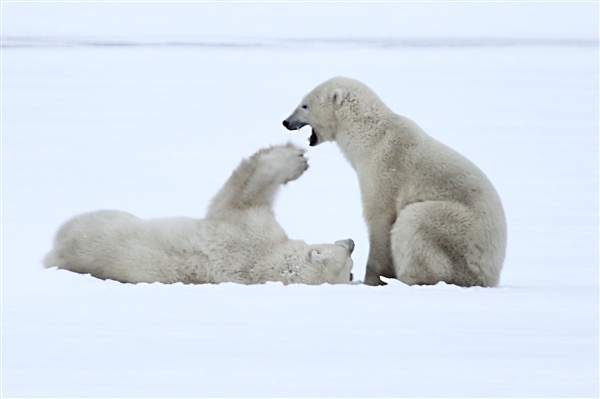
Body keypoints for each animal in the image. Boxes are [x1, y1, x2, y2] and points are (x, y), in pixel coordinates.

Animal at [44, 145, 354, 286]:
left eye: (350, 270)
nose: (352, 242)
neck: (267, 261)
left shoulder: (246, 232)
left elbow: (239, 195)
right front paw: (296, 158)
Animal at [284, 76, 506, 288]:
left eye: (304, 105)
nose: (286, 122)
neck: (371, 135)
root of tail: (490, 276)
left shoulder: (384, 168)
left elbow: (380, 218)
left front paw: (371, 279)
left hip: (459, 232)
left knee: (415, 221)